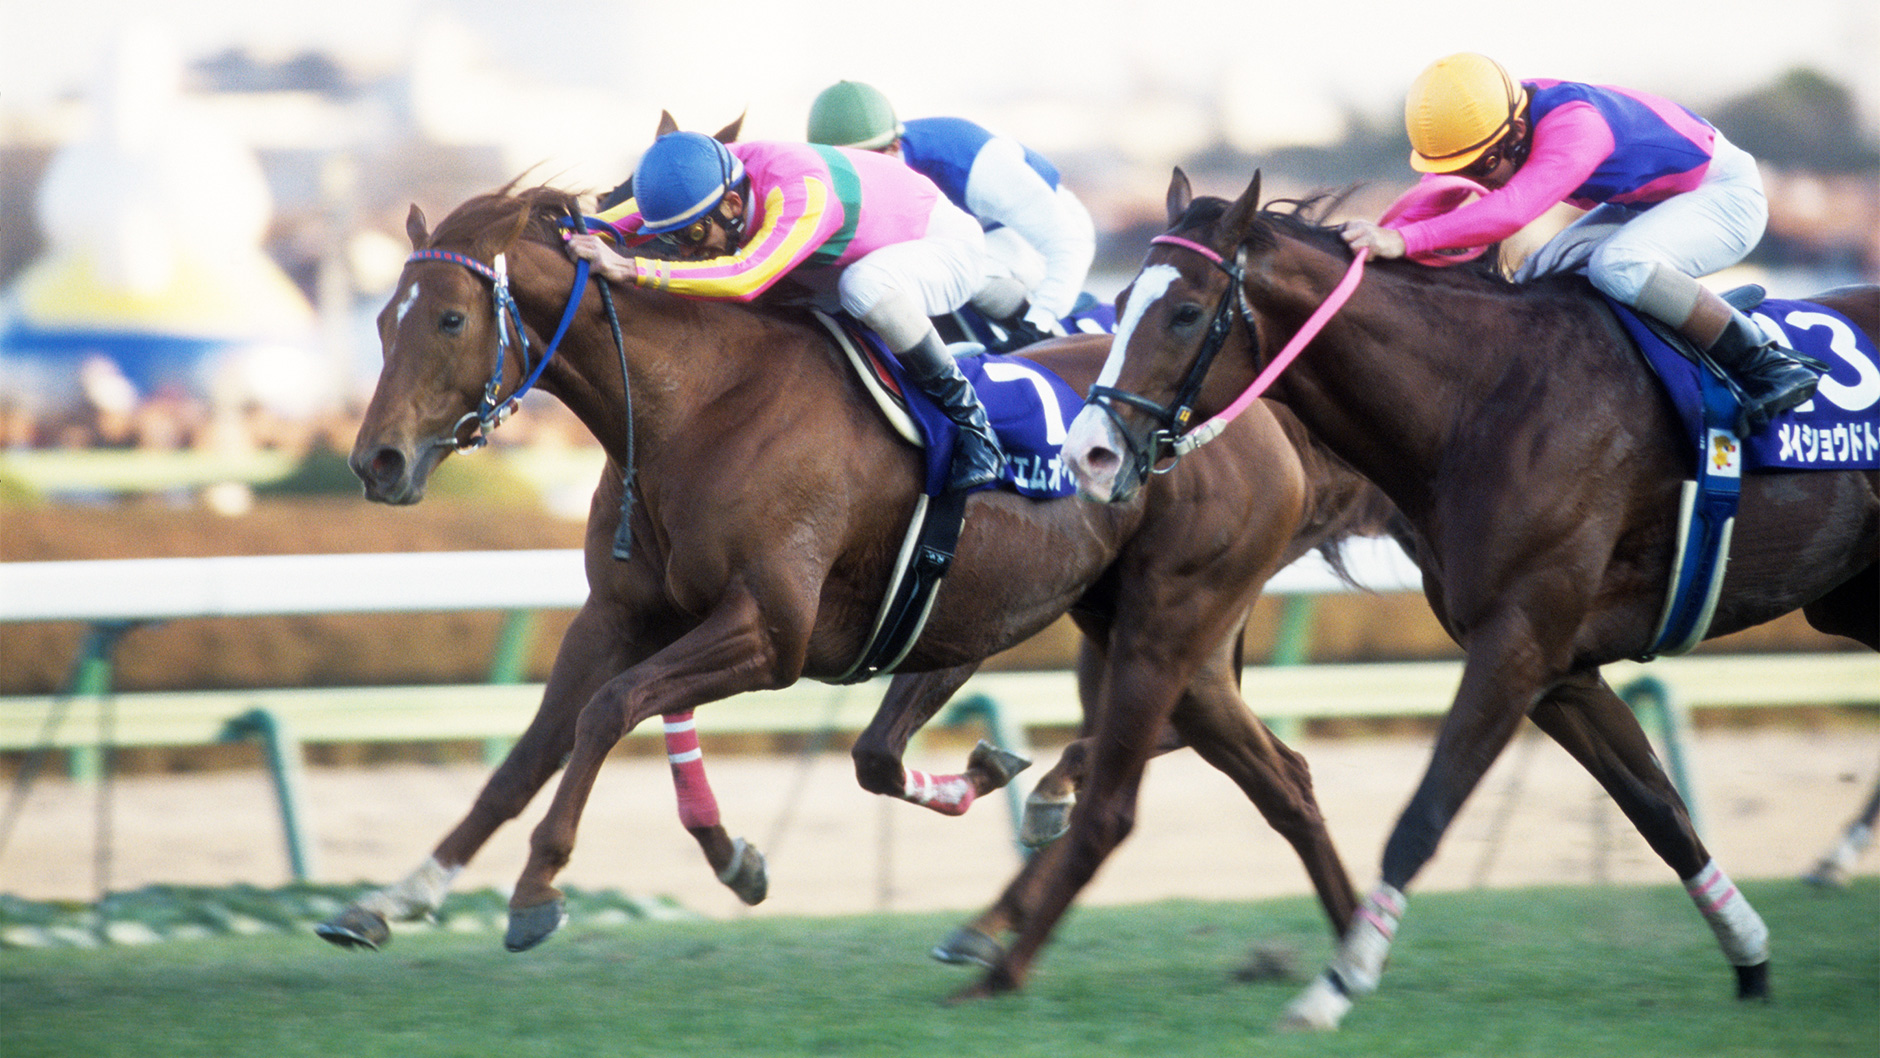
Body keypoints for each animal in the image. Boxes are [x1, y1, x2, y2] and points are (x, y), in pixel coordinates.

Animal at [328, 179, 1388, 967]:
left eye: (452, 319)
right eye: (381, 320)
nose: (377, 462)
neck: (695, 405)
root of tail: (1259, 412)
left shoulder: (771, 632)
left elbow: (606, 711)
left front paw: (538, 888)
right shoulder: (619, 614)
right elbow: (530, 750)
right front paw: (396, 896)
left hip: (1174, 621)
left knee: (1244, 766)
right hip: (1139, 629)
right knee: (1240, 765)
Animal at [1055, 167, 1878, 1029]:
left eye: (1185, 312)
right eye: (1118, 303)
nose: (1088, 453)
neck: (1481, 398)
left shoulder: (1517, 643)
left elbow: (1422, 817)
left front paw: (1334, 986)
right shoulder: (1560, 669)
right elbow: (1659, 811)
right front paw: (1751, 960)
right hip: (1852, 595)